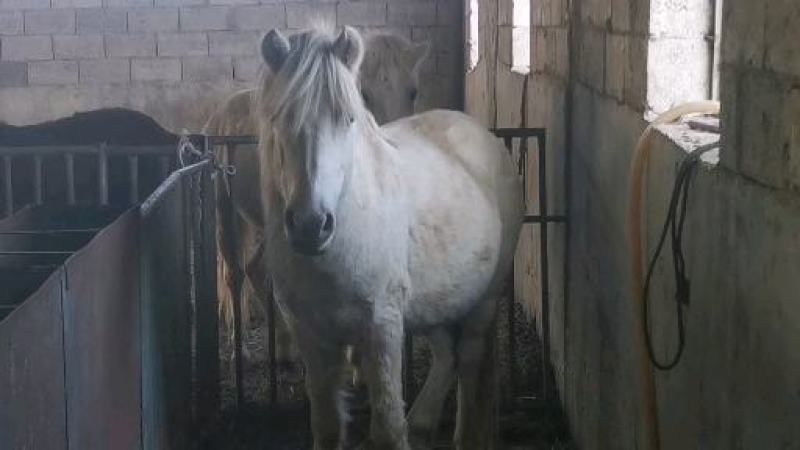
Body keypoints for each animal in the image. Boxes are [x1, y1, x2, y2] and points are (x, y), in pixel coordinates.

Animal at [203, 31, 430, 370]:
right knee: (235, 274)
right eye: (363, 94)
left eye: (413, 91)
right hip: (228, 214)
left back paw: (284, 348)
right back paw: (240, 350)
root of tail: (220, 113)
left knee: (257, 269)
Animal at [255, 25, 522, 449]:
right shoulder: (309, 333)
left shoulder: (382, 326)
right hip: (437, 300)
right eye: (280, 117)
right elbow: (327, 426)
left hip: (485, 299)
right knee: (446, 357)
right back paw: (424, 424)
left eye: (348, 118)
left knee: (467, 361)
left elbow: (387, 429)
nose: (311, 225)